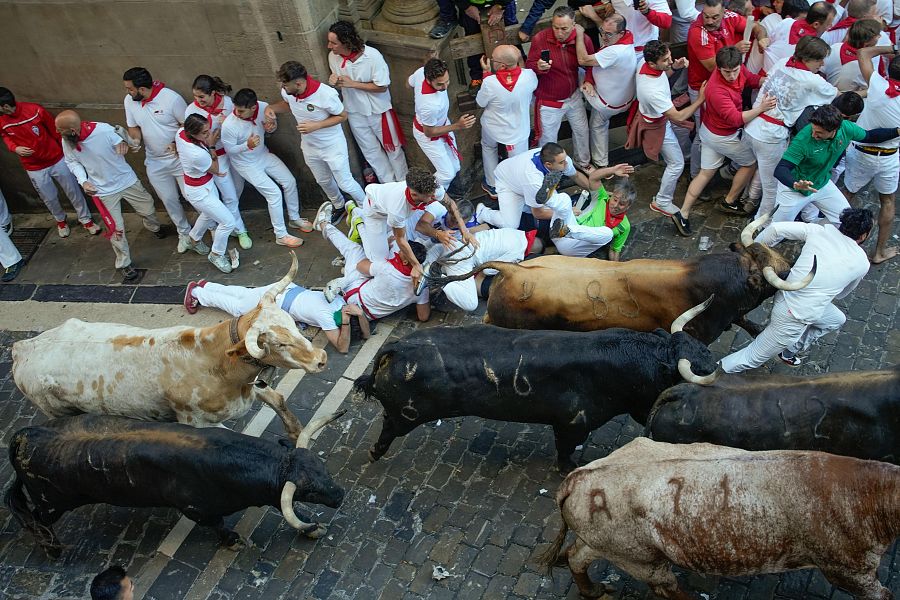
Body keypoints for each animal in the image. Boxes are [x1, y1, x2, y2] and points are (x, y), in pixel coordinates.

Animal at [5, 412, 346, 556]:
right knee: (36, 519)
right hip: (52, 504)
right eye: (309, 490)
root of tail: (24, 434)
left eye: (323, 468)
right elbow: (219, 525)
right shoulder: (197, 510)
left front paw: (314, 528)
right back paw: (52, 550)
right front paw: (233, 541)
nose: (340, 494)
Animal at [356, 298, 720, 472]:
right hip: (407, 414)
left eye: (704, 350)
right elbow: (565, 452)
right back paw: (374, 452)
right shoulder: (572, 423)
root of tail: (397, 348)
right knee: (389, 427)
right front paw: (569, 467)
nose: (718, 367)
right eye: (690, 372)